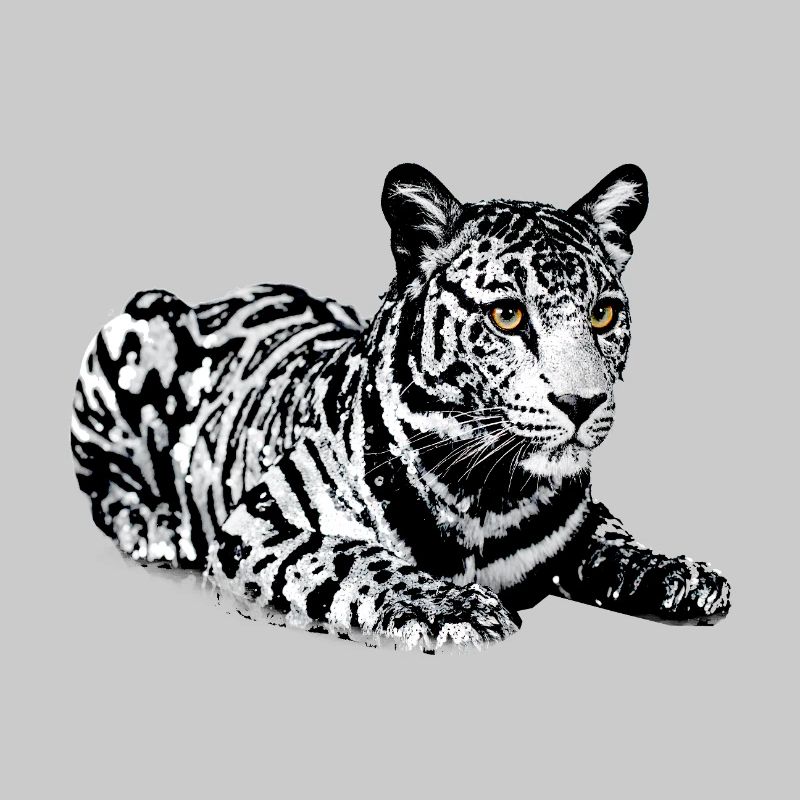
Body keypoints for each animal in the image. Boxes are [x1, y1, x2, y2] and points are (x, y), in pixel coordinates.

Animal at [71, 163, 732, 649]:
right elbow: (354, 556)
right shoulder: (258, 524)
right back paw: (159, 529)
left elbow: (613, 539)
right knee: (104, 485)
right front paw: (459, 607)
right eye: (507, 314)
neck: (488, 492)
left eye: (603, 314)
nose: (582, 402)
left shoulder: (582, 517)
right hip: (134, 328)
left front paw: (679, 573)